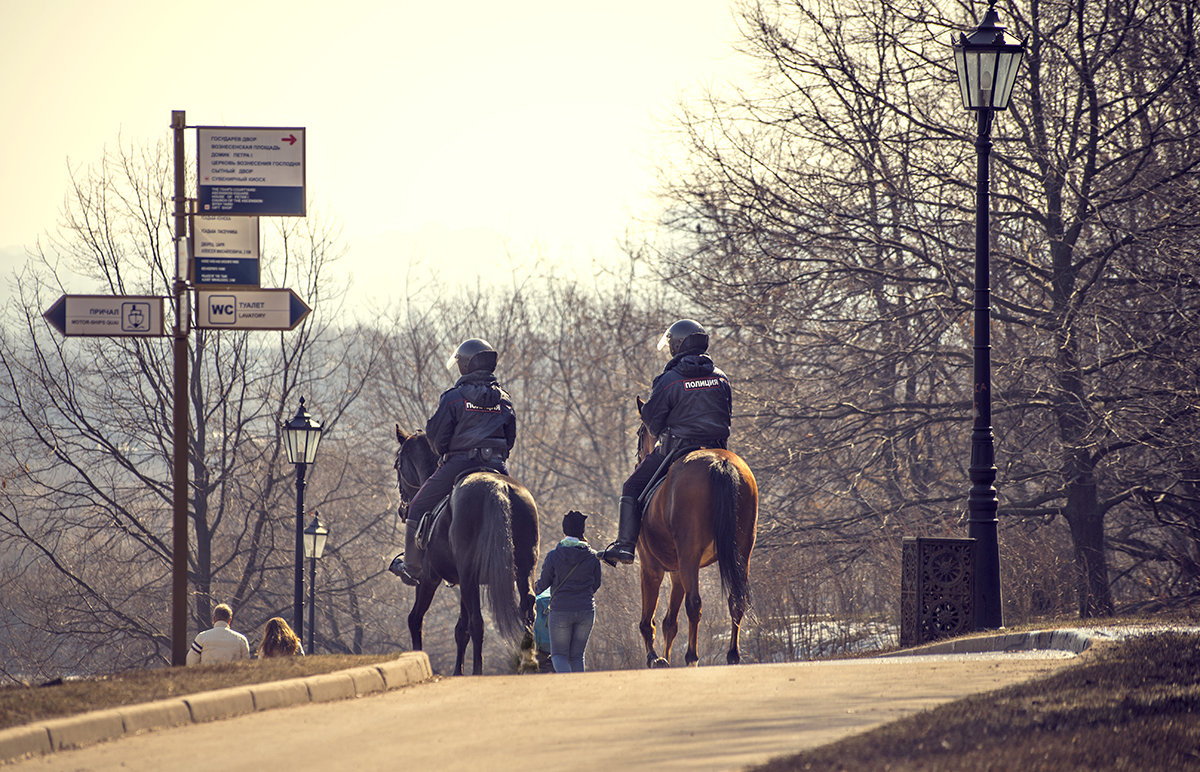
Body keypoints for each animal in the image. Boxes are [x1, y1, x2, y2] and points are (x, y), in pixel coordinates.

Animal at [393, 425, 540, 672]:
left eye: (398, 464)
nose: (402, 509)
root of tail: (498, 487)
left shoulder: (429, 577)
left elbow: (415, 619)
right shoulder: (462, 582)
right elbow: (460, 630)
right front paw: (457, 671)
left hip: (466, 575)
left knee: (477, 623)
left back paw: (478, 670)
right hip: (521, 569)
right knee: (527, 608)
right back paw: (528, 662)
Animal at [633, 396, 753, 667]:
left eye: (640, 433)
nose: (639, 460)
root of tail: (720, 462)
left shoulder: (651, 567)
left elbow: (649, 621)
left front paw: (654, 658)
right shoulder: (677, 572)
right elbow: (669, 623)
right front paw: (664, 658)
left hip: (688, 555)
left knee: (694, 604)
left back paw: (692, 657)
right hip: (742, 551)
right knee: (736, 600)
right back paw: (733, 655)